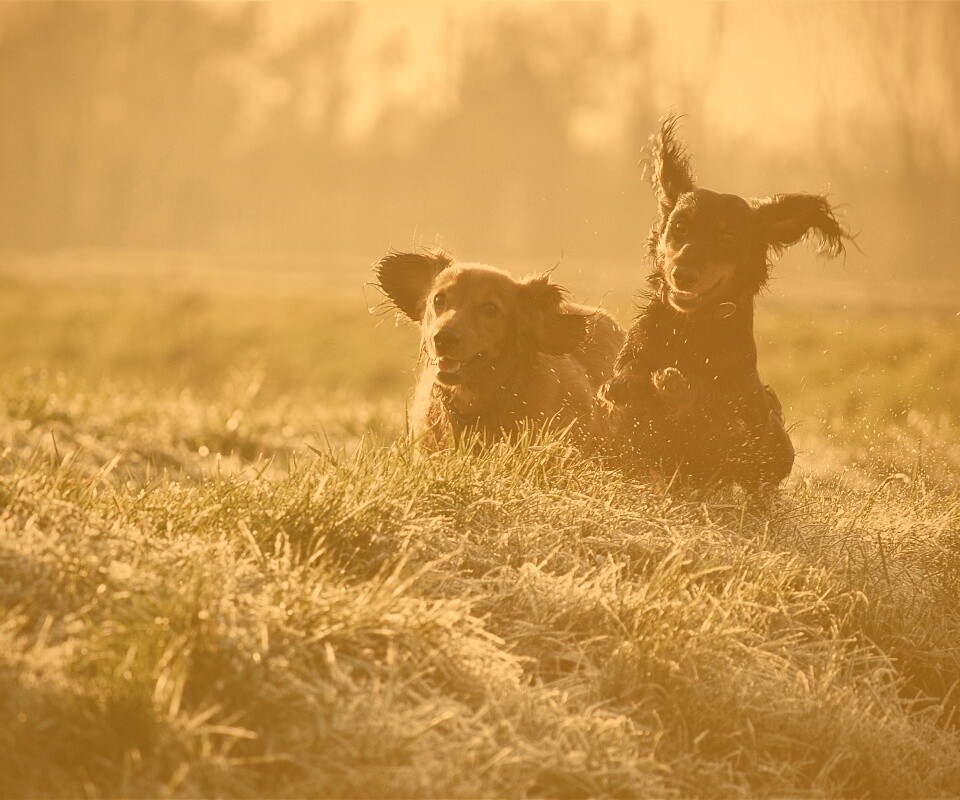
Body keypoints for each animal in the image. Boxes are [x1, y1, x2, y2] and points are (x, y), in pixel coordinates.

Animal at [604, 119, 844, 494]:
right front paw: (627, 383)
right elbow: (631, 375)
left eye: (727, 237)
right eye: (679, 226)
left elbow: (714, 415)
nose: (683, 275)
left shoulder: (737, 428)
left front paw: (677, 387)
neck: (692, 327)